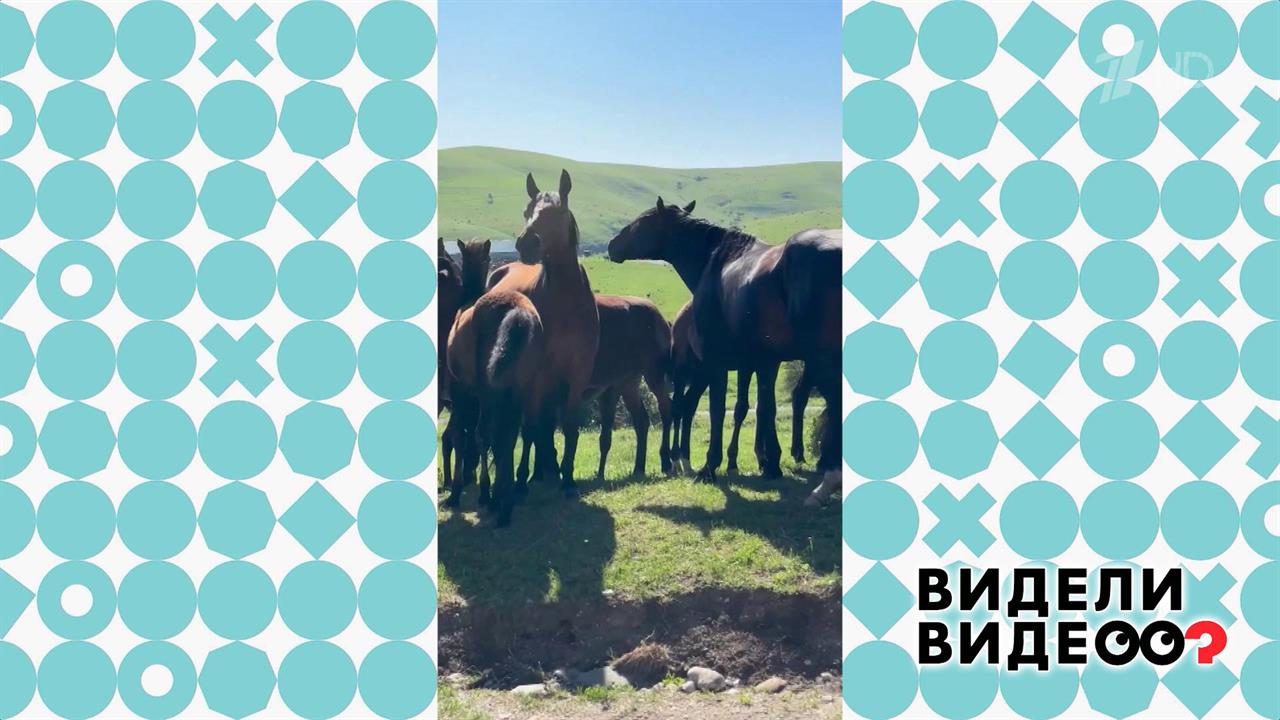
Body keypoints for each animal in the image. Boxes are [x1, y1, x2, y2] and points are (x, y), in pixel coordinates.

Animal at [486, 170, 600, 500]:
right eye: (527, 211)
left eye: (557, 211)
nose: (527, 243)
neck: (566, 302)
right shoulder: (537, 374)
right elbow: (530, 428)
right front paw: (521, 481)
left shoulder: (577, 374)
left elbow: (570, 426)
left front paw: (568, 480)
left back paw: (547, 470)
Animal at [608, 198, 842, 506]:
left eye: (641, 222)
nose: (612, 245)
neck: (717, 262)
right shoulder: (764, 362)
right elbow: (765, 408)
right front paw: (771, 464)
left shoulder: (718, 361)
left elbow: (719, 410)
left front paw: (711, 466)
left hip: (820, 358)